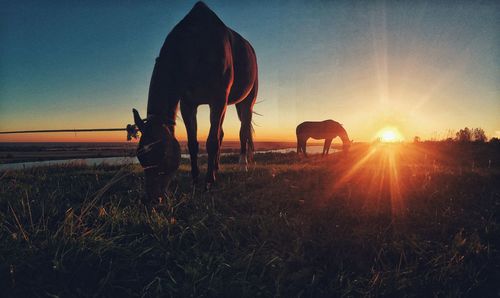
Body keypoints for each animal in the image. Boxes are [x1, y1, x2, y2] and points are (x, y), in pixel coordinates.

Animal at [132, 1, 258, 199]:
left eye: (163, 153)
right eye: (140, 155)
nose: (151, 198)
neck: (196, 45)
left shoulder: (218, 99)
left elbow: (212, 141)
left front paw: (208, 183)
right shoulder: (188, 104)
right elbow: (193, 143)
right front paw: (195, 180)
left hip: (245, 101)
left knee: (243, 131)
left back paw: (242, 166)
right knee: (222, 133)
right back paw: (216, 168)